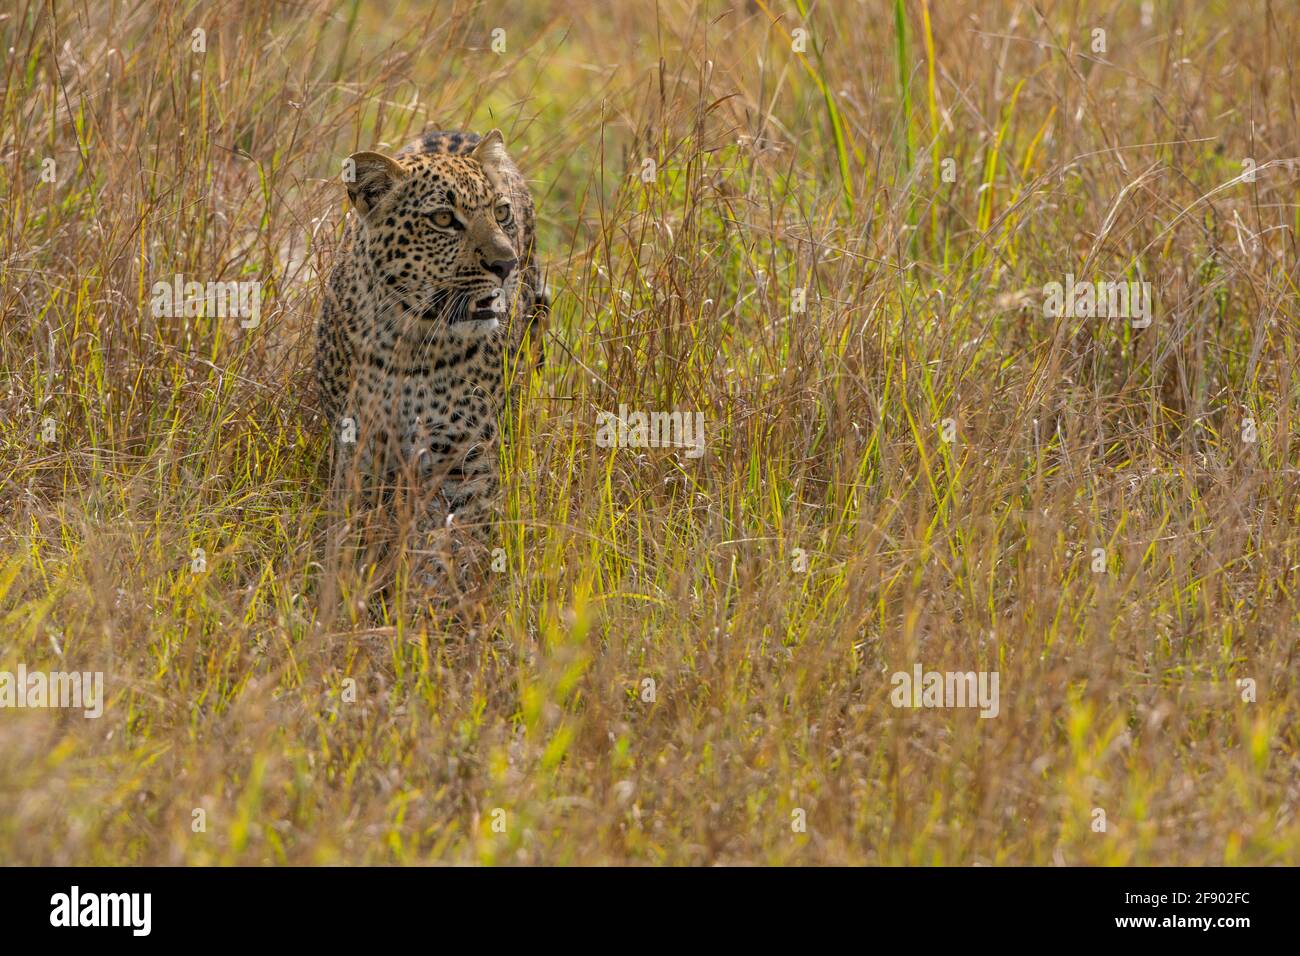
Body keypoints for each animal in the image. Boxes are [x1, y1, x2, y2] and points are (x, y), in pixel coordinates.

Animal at [314, 128, 546, 593]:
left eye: (501, 212)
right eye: (442, 219)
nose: (506, 264)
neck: (410, 342)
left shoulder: (462, 462)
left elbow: (450, 544)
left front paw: (433, 601)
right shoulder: (358, 449)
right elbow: (356, 529)